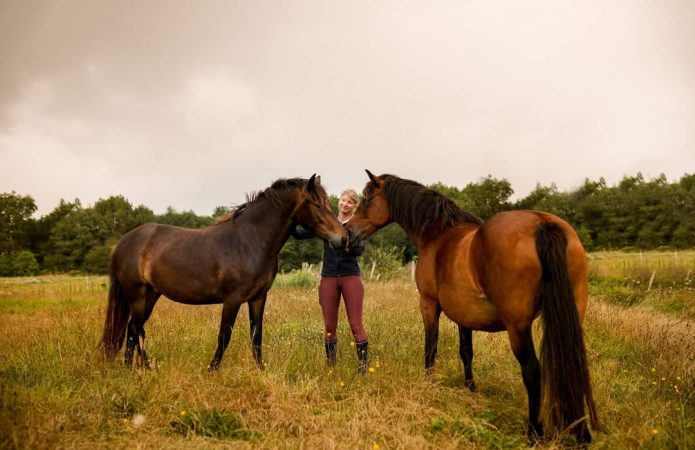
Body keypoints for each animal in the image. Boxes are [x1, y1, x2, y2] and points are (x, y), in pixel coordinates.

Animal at [99, 177, 346, 372]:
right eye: (316, 204)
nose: (342, 238)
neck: (249, 241)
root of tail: (122, 243)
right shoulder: (232, 300)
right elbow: (224, 336)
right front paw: (212, 370)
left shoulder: (258, 298)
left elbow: (256, 336)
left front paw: (260, 370)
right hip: (138, 296)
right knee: (135, 330)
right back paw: (141, 368)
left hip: (150, 295)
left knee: (132, 329)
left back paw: (135, 368)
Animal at [348, 171, 600, 442]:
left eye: (367, 199)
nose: (349, 231)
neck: (439, 234)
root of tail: (543, 224)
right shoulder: (464, 316)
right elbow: (466, 351)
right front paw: (470, 388)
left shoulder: (428, 304)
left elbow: (431, 347)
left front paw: (429, 383)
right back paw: (581, 433)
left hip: (518, 327)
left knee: (532, 371)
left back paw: (534, 432)